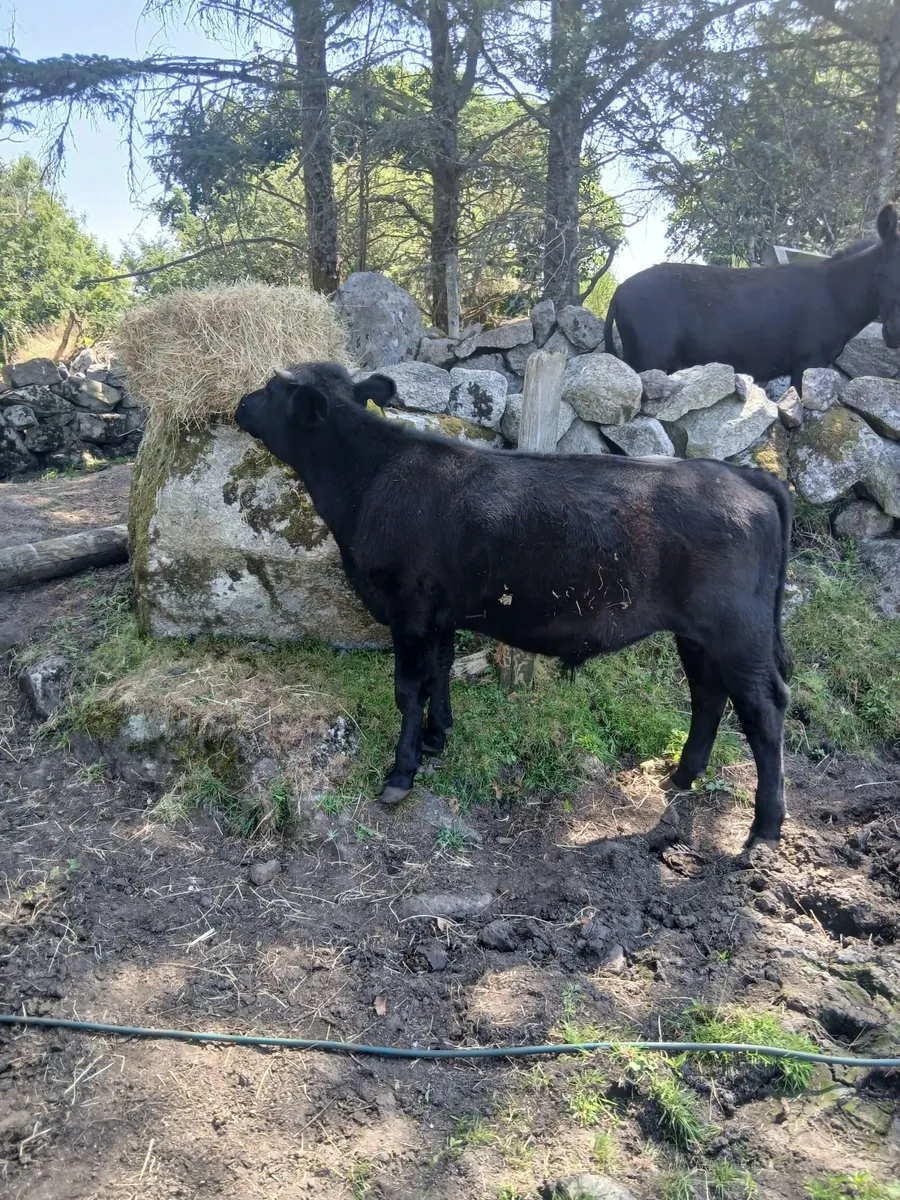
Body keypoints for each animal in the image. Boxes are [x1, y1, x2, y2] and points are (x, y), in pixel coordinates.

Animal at [235, 362, 793, 851]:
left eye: (270, 388)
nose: (239, 404)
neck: (371, 478)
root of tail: (745, 477)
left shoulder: (409, 609)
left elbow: (409, 690)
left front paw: (401, 772)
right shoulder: (440, 612)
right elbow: (439, 672)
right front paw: (438, 737)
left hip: (736, 632)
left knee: (762, 708)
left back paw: (764, 827)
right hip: (698, 633)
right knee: (708, 694)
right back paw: (682, 775)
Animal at [604, 202, 900, 393]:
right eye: (881, 275)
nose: (894, 333)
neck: (836, 295)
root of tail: (619, 291)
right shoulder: (807, 362)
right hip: (650, 359)